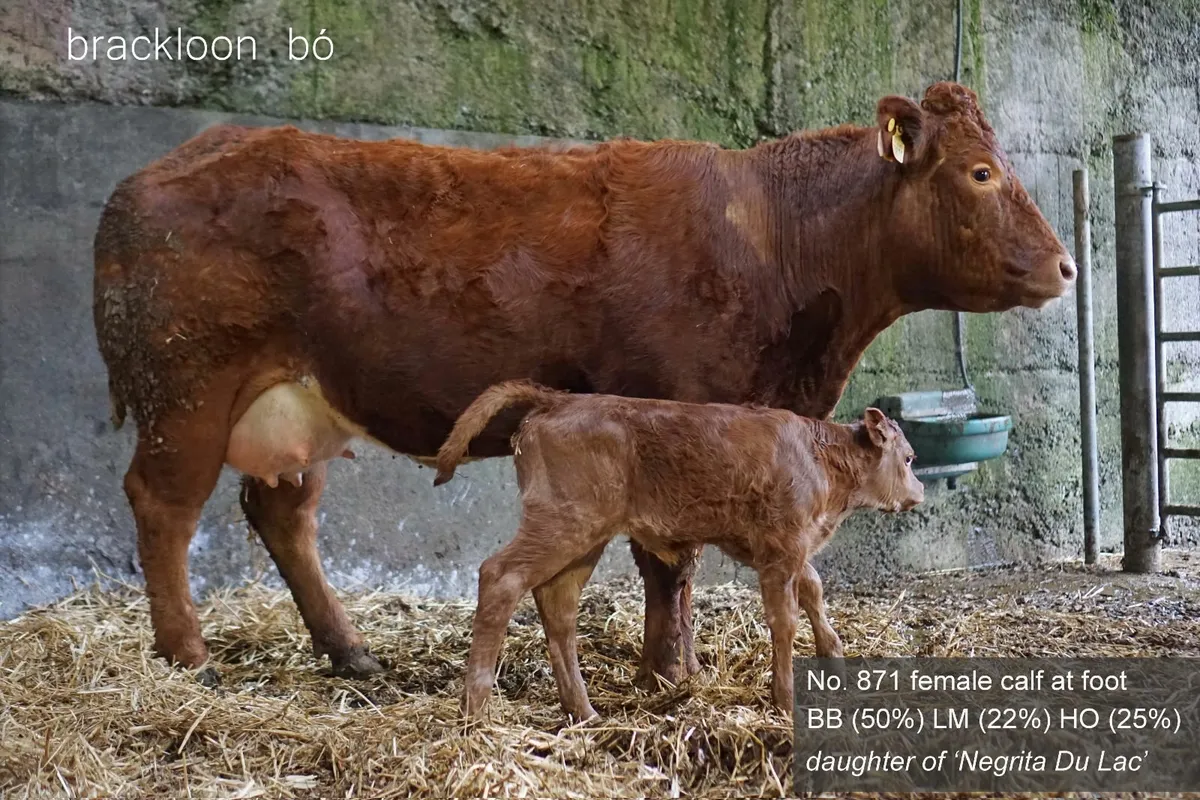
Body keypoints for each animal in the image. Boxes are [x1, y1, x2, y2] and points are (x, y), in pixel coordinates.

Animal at [91, 80, 1075, 685]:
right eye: (981, 172)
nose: (1066, 266)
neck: (772, 236)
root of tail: (160, 169)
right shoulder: (672, 407)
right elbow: (668, 559)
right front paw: (669, 671)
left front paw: (673, 665)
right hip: (189, 387)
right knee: (164, 506)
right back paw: (186, 654)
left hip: (296, 401)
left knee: (281, 512)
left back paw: (350, 651)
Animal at [432, 380, 925, 720]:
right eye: (909, 458)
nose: (918, 493)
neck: (821, 458)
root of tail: (556, 400)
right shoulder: (780, 550)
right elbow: (784, 619)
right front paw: (785, 699)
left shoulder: (790, 551)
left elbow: (814, 593)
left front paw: (835, 662)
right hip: (560, 525)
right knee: (500, 576)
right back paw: (475, 709)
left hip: (582, 541)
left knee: (558, 605)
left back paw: (583, 712)